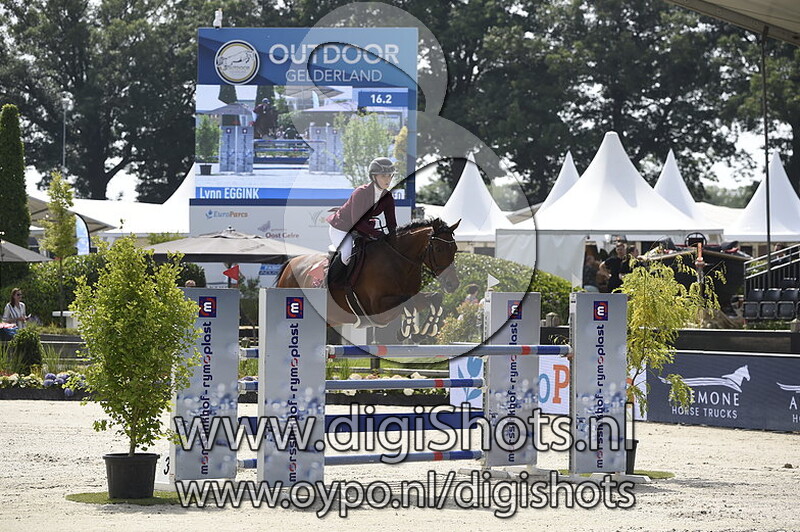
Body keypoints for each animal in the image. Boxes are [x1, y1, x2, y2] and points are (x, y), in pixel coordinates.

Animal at [275, 218, 460, 337]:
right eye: (438, 249)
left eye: (455, 249)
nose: (453, 284)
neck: (398, 259)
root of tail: (289, 267)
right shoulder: (377, 308)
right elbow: (408, 304)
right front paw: (406, 330)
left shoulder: (413, 296)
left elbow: (434, 298)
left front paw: (427, 328)